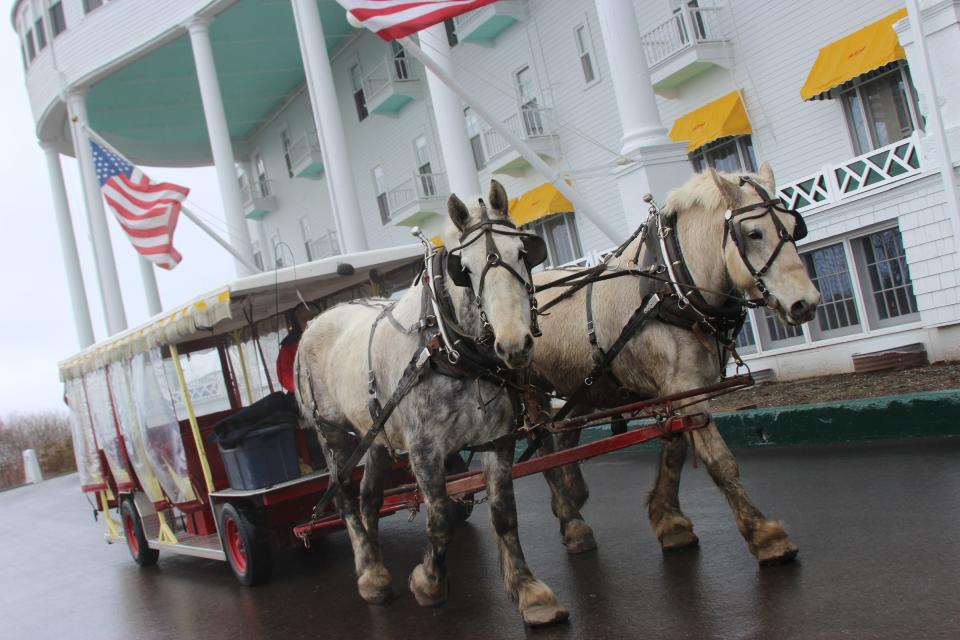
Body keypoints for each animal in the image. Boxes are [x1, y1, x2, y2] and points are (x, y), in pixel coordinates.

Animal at [296, 180, 568, 624]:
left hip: (376, 433)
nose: (514, 345)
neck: (447, 345)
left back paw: (376, 563)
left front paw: (529, 592)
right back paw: (370, 575)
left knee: (369, 497)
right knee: (344, 497)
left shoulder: (497, 439)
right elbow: (440, 520)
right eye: (465, 270)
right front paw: (428, 583)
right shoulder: (424, 450)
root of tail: (314, 321)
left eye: (524, 253)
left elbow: (504, 514)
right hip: (332, 434)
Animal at [532, 166, 816, 564]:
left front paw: (669, 522)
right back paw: (573, 523)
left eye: (794, 225)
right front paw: (764, 535)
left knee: (566, 437)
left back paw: (571, 499)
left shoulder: (677, 388)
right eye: (753, 233)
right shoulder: (683, 387)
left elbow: (676, 448)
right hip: (529, 393)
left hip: (584, 385)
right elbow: (719, 459)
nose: (805, 303)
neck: (671, 289)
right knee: (543, 449)